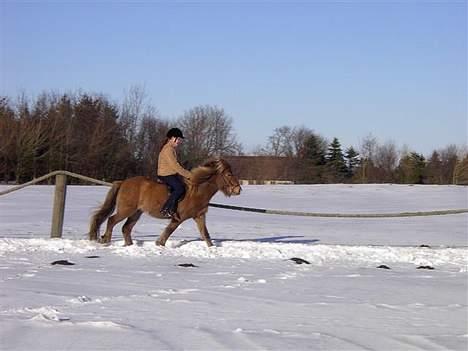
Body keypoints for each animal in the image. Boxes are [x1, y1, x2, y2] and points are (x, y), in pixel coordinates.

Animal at [88, 159, 241, 248]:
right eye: (228, 174)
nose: (238, 189)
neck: (197, 191)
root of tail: (123, 182)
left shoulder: (199, 216)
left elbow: (205, 234)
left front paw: (211, 249)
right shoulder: (178, 218)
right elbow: (168, 232)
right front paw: (159, 244)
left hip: (136, 213)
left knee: (126, 228)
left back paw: (129, 245)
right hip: (126, 210)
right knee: (111, 220)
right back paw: (106, 240)